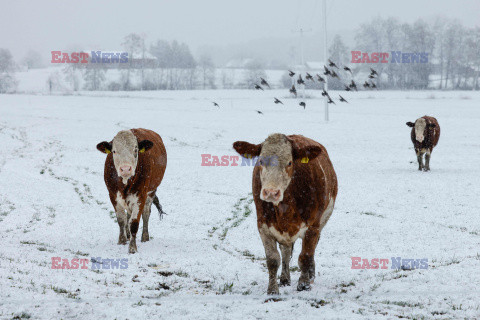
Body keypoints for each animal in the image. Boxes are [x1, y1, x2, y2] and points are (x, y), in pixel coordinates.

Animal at [232, 134, 338, 294]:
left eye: (289, 162)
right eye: (261, 161)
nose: (271, 192)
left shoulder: (313, 226)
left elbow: (305, 256)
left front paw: (304, 284)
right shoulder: (263, 226)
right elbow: (273, 259)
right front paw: (272, 290)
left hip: (322, 221)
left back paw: (311, 275)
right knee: (286, 251)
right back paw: (284, 278)